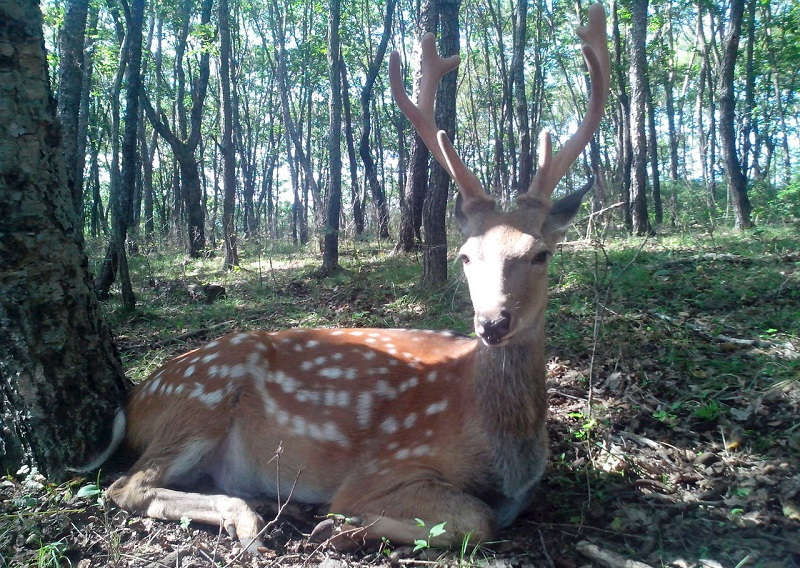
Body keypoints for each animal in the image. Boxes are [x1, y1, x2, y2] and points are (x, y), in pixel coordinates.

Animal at [84, 4, 608, 556]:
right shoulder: (380, 467)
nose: (492, 322)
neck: (505, 451)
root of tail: (135, 397)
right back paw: (253, 520)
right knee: (126, 485)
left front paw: (338, 527)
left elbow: (485, 517)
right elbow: (476, 519)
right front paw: (339, 526)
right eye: (466, 256)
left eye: (541, 254)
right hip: (203, 396)